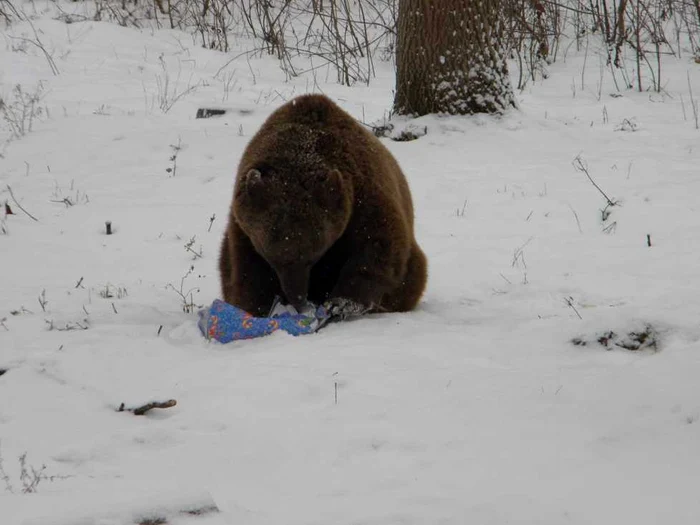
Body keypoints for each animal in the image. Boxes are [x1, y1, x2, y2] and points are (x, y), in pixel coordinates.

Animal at [217, 92, 426, 318]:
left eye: (312, 256)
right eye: (271, 258)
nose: (298, 298)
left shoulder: (363, 196)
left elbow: (378, 244)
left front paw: (342, 302)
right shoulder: (243, 225)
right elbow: (247, 269)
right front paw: (258, 306)